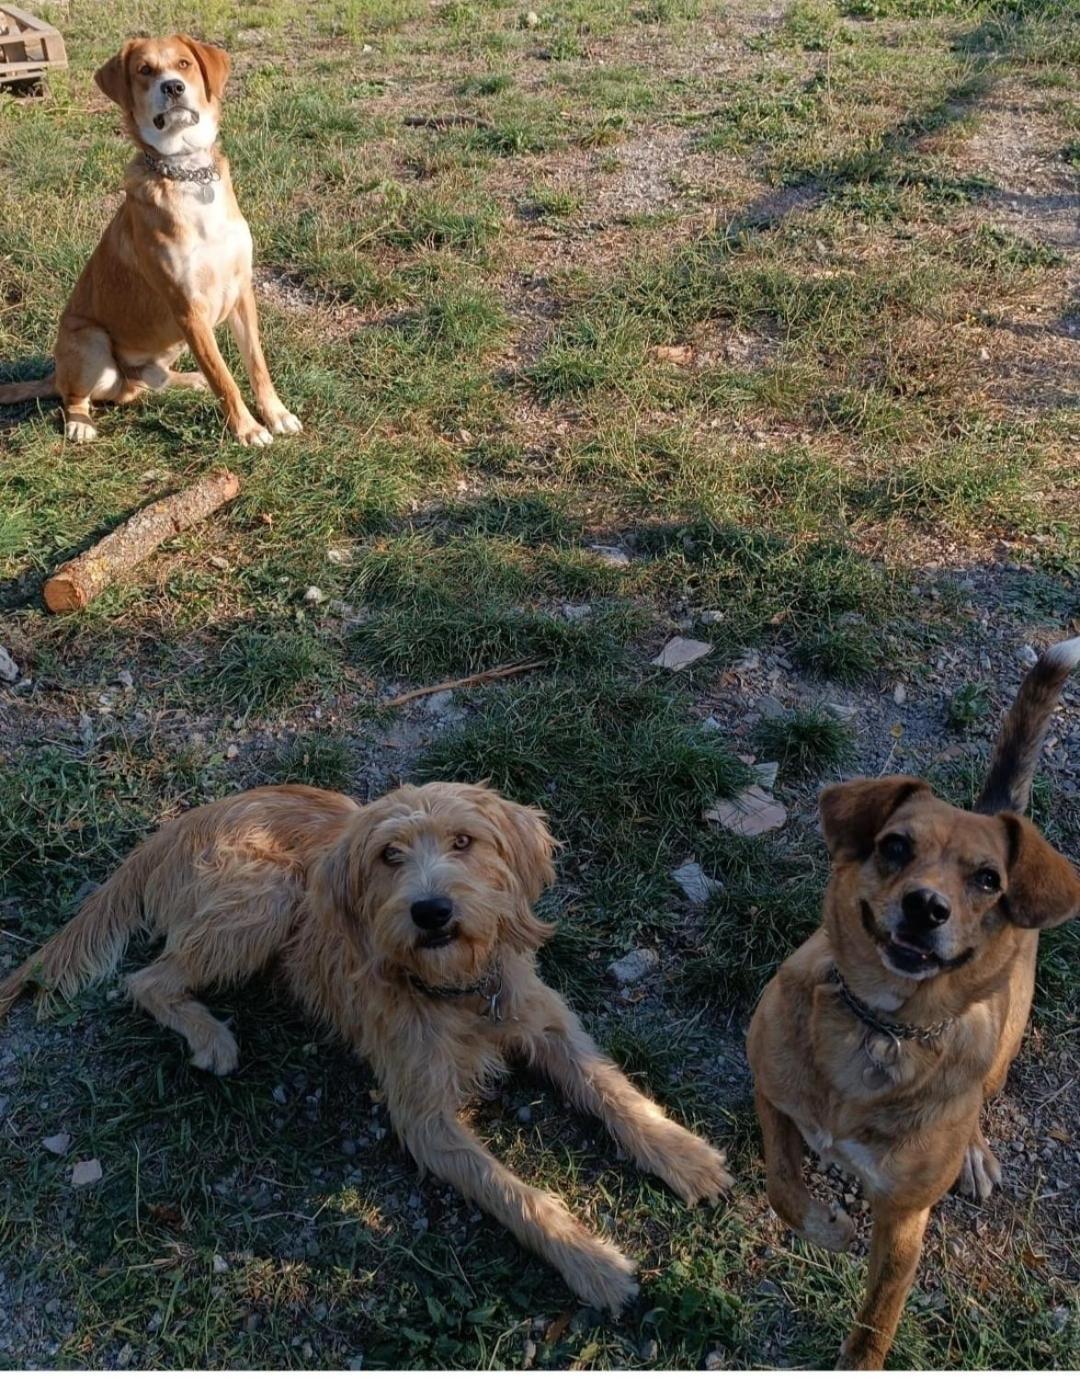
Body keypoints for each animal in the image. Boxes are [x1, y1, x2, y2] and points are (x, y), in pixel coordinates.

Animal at [0, 34, 299, 446]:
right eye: (144, 70)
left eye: (185, 63)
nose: (172, 87)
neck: (188, 173)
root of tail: (56, 371)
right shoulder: (187, 309)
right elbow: (224, 377)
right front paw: (248, 428)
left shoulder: (241, 292)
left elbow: (255, 364)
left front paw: (276, 414)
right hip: (91, 342)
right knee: (75, 396)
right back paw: (80, 423)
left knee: (144, 387)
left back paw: (187, 380)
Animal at [2, 783, 733, 1307]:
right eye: (390, 854)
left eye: (464, 841)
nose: (431, 910)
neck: (457, 990)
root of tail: (179, 824)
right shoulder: (423, 1115)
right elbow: (511, 1191)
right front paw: (591, 1261)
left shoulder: (546, 1024)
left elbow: (612, 1087)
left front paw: (683, 1154)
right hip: (266, 894)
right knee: (146, 979)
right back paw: (211, 1035)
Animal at [750, 634, 1080, 1367]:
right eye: (895, 846)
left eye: (987, 879)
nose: (926, 906)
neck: (879, 1023)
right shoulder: (769, 1092)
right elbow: (783, 1184)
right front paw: (825, 1225)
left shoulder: (903, 1219)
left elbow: (876, 1323)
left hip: (1004, 1040)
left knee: (984, 1092)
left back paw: (976, 1150)